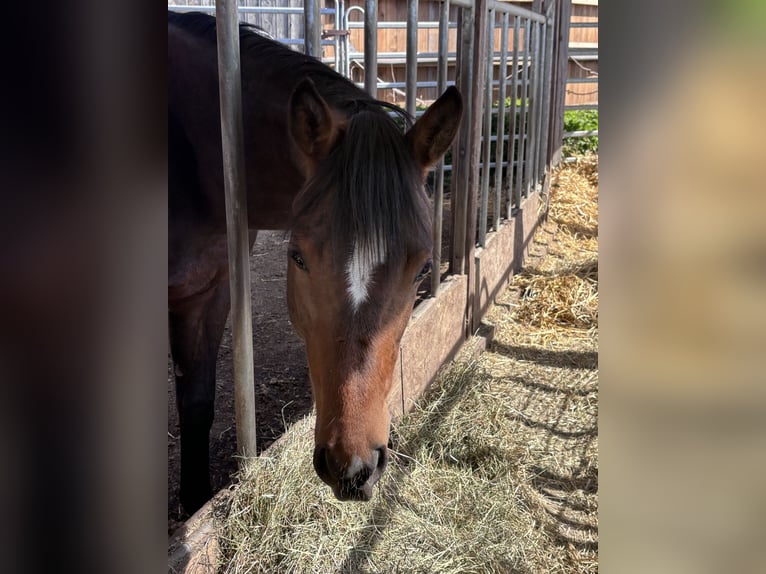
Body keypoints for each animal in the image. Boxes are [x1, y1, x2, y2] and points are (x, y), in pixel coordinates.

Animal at [168, 11, 462, 512]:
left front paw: (194, 501)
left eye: (424, 268)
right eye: (297, 258)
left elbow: (197, 403)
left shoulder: (210, 291)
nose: (354, 468)